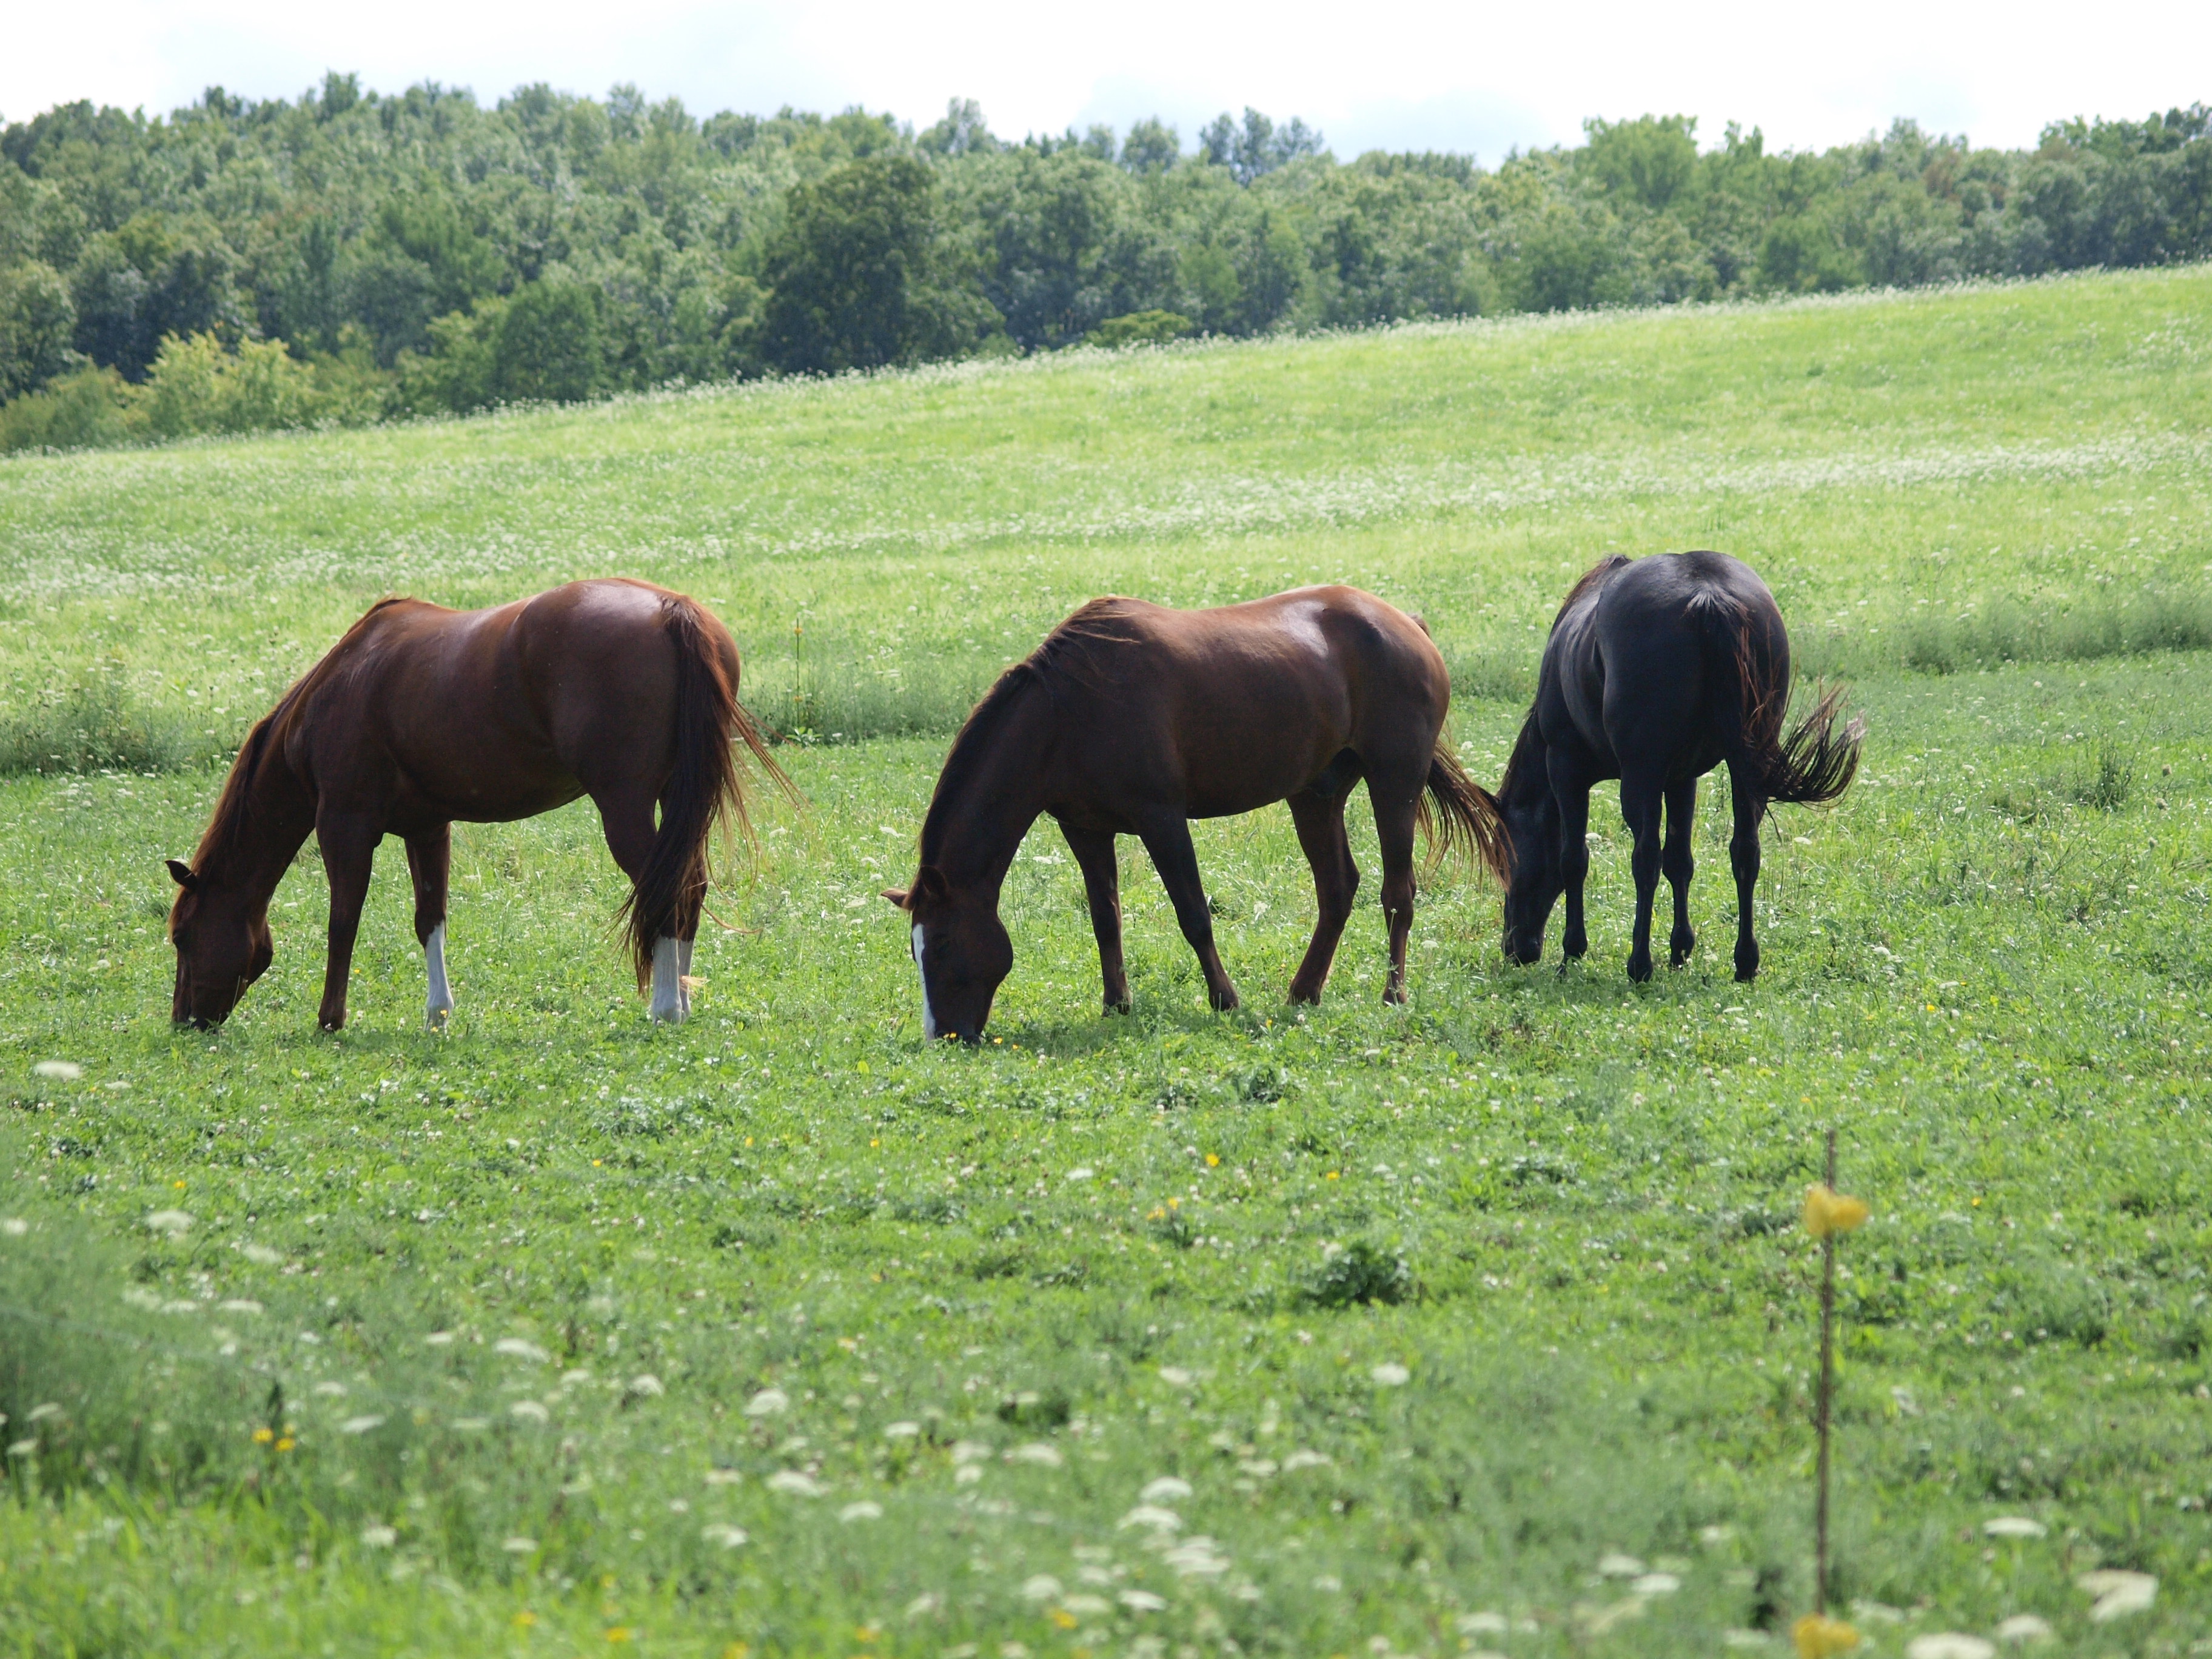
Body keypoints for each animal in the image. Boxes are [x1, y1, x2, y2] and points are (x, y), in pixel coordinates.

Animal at [165, 579, 789, 1031]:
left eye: (181, 935)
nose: (185, 1021)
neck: (339, 687)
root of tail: (670, 609)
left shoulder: (344, 826)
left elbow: (343, 922)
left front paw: (330, 1020)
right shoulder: (426, 828)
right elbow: (430, 919)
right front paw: (437, 1016)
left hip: (627, 808)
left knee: (666, 890)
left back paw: (665, 1010)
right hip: (679, 801)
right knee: (691, 884)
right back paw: (681, 999)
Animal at [880, 585, 1509, 1041]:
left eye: (940, 945)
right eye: (914, 950)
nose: (944, 1037)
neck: (1068, 711)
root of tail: (1407, 623)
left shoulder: (1161, 819)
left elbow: (1193, 915)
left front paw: (1224, 999)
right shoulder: (1084, 828)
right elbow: (1105, 919)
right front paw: (1116, 1004)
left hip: (1394, 781)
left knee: (1397, 892)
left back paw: (1392, 995)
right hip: (1315, 794)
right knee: (1338, 889)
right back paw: (1304, 991)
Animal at [1495, 550, 1863, 983]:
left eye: (1506, 861)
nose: (1515, 949)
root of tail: (1708, 596)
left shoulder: (1567, 768)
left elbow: (1575, 860)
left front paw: (1573, 952)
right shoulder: (1682, 779)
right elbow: (1680, 861)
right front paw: (1681, 948)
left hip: (1642, 776)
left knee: (1645, 860)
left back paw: (1639, 963)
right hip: (1746, 767)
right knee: (1745, 852)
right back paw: (1745, 961)